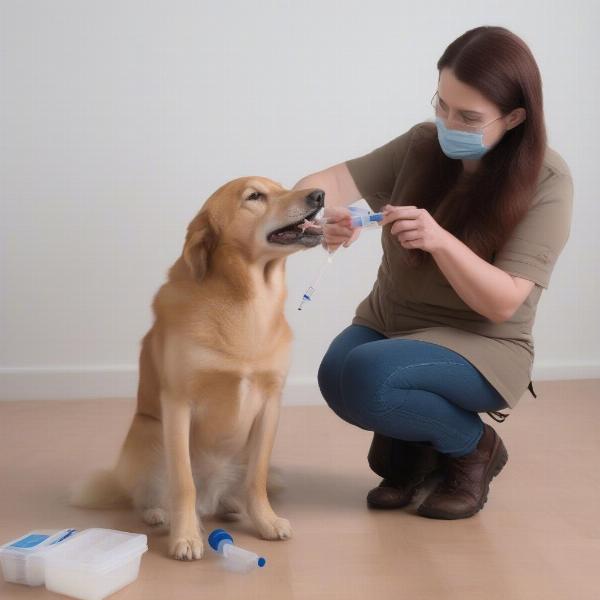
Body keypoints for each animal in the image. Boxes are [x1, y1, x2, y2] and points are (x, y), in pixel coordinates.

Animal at [72, 176, 326, 560]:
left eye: (283, 186)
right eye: (255, 196)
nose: (319, 195)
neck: (247, 302)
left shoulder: (271, 404)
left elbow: (257, 480)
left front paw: (265, 520)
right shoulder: (177, 404)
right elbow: (183, 483)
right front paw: (186, 536)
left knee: (235, 490)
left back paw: (232, 506)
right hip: (149, 433)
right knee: (150, 496)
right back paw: (160, 514)